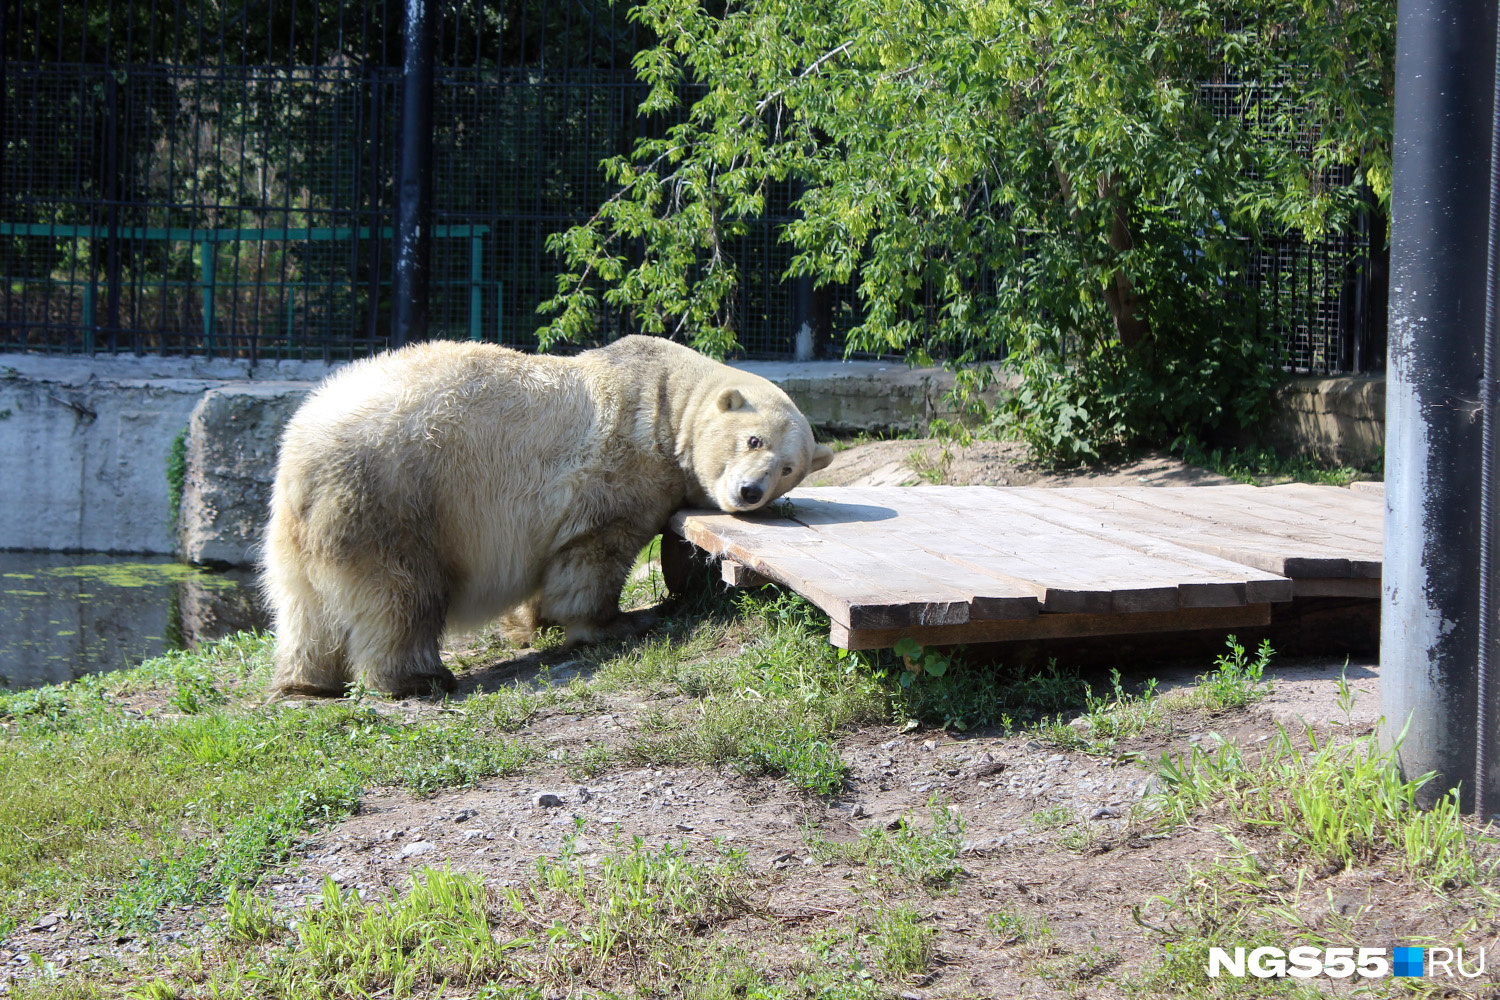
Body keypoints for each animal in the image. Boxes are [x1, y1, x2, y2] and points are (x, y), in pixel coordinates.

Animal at [265, 335, 840, 695]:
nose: (749, 491)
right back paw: (416, 678)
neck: (666, 399)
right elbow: (594, 555)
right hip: (397, 497)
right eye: (753, 440)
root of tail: (303, 450)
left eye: (789, 467)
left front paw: (530, 623)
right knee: (402, 592)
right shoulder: (618, 469)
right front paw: (621, 622)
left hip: (301, 526)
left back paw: (306, 680)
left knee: (303, 605)